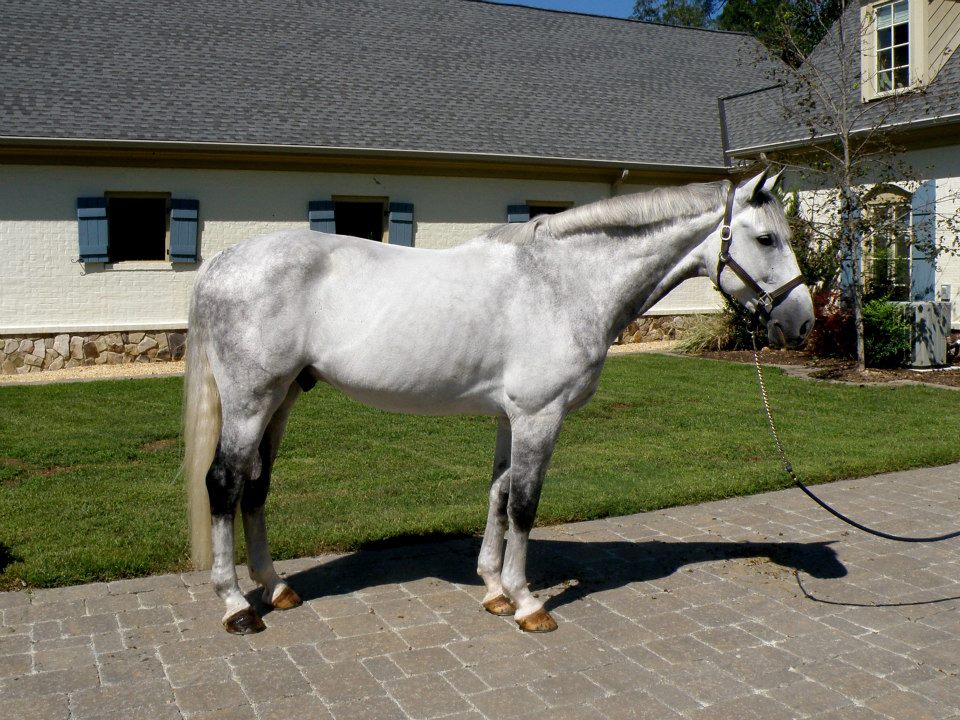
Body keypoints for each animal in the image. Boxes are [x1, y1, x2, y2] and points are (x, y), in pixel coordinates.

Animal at [184, 172, 812, 632]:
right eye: (766, 239)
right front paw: (527, 602)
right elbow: (526, 506)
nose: (802, 322)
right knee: (224, 483)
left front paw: (492, 590)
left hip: (283, 396)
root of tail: (223, 263)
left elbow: (499, 494)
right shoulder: (540, 416)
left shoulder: (513, 418)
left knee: (256, 487)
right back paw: (236, 605)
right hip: (251, 401)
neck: (564, 282)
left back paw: (276, 587)